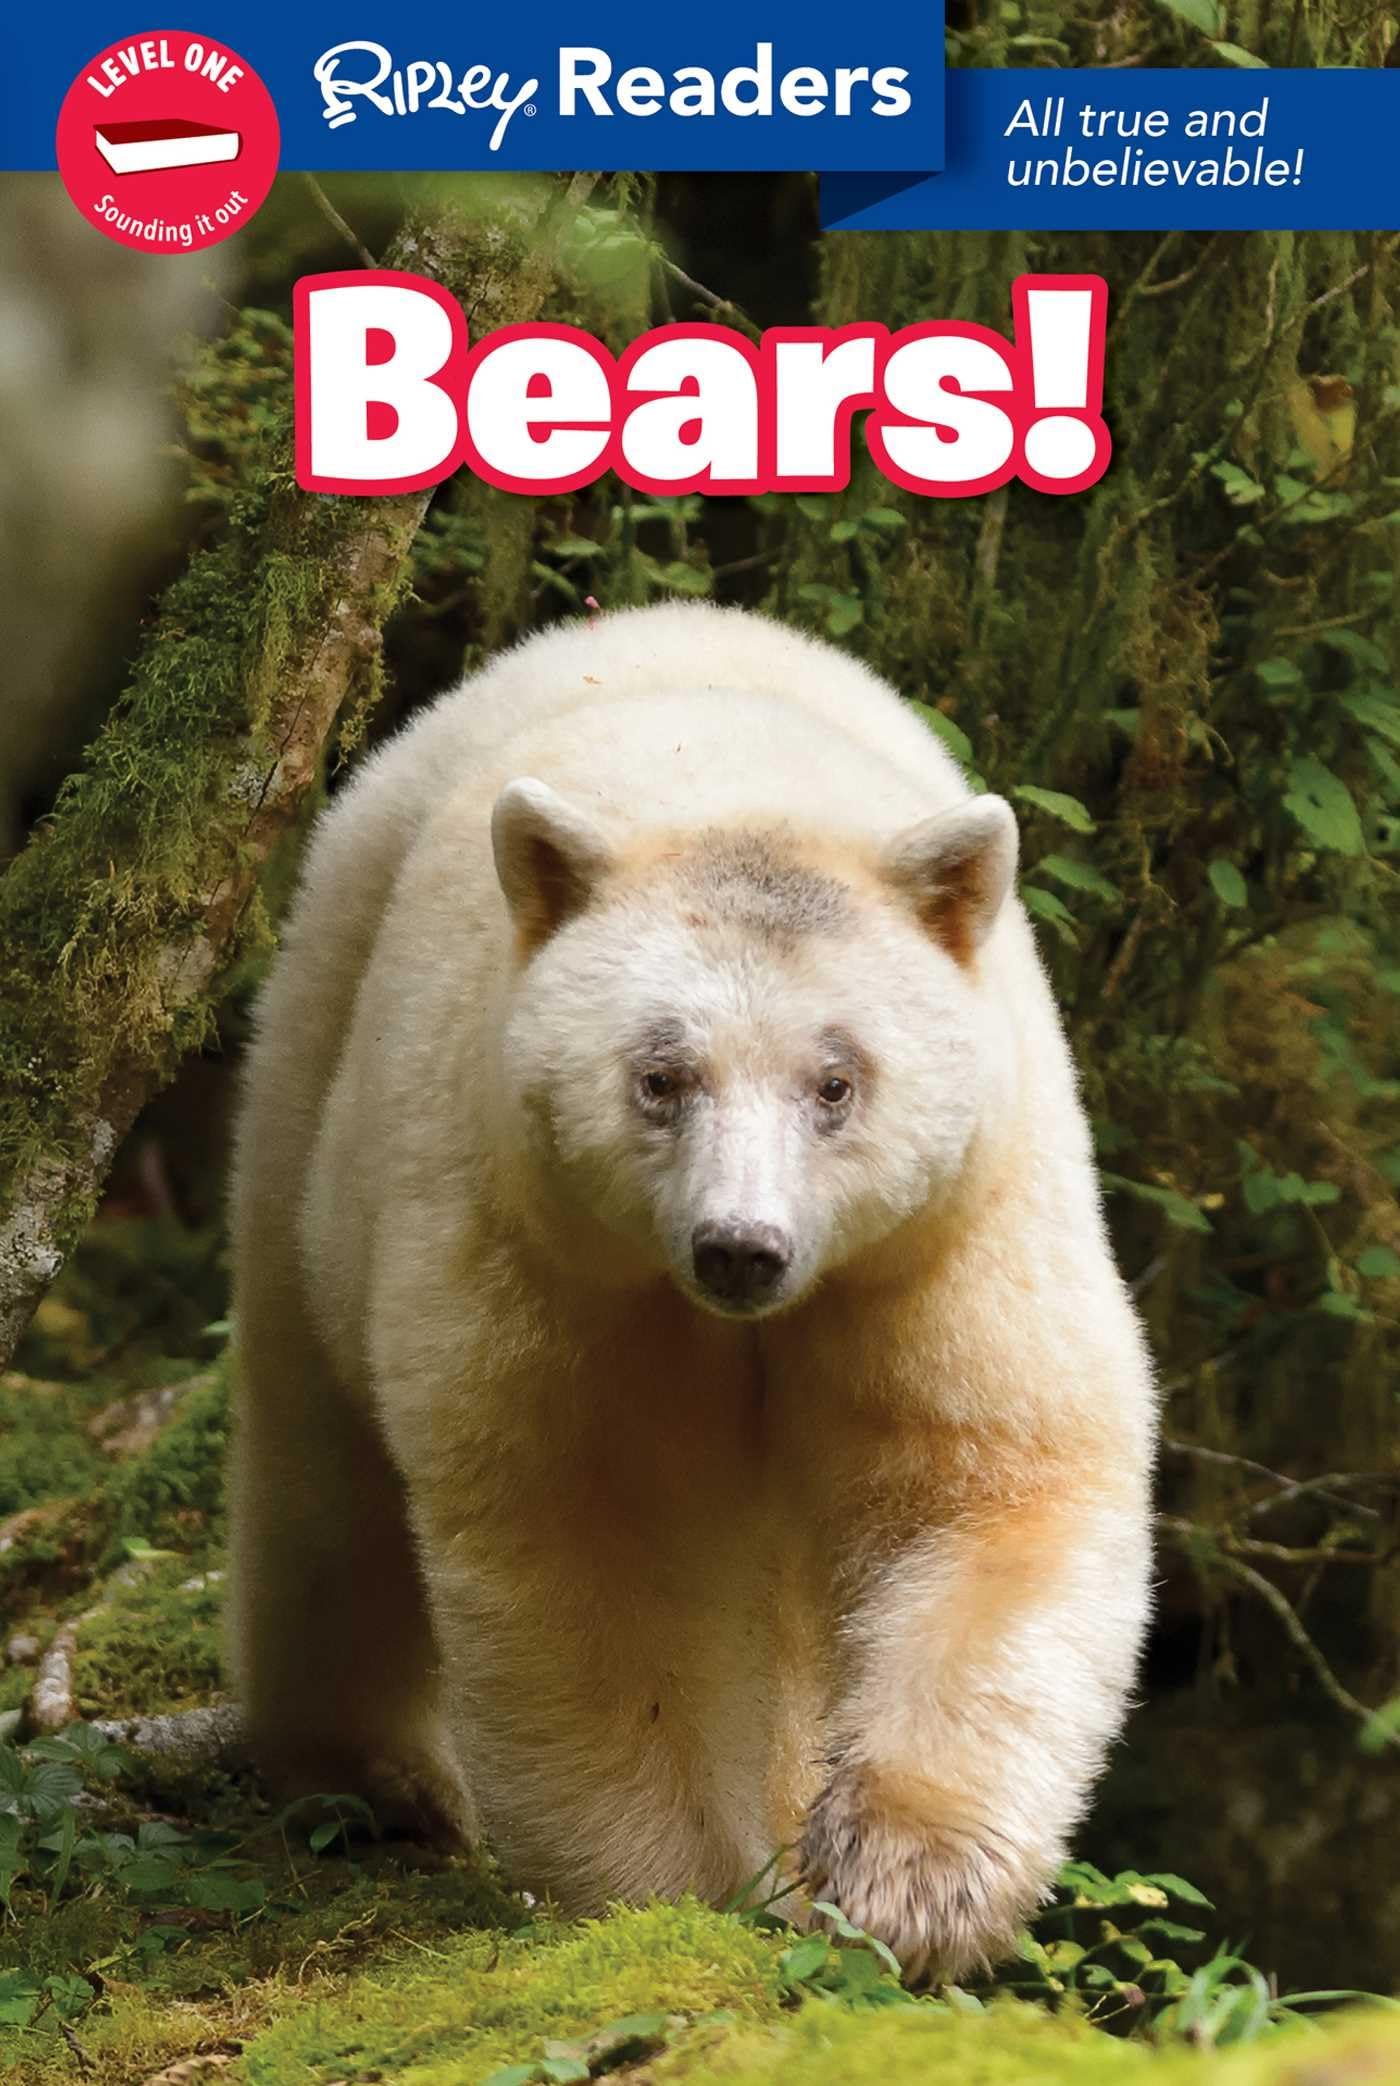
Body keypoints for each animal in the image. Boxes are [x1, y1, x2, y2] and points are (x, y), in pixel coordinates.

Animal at [229, 600, 1155, 1981]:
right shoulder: (553, 1261)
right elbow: (595, 1547)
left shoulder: (939, 1239)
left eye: (836, 1080)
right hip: (321, 1067)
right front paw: (671, 1894)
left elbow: (987, 1480)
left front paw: (903, 1881)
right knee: (318, 1459)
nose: (740, 1247)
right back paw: (367, 1779)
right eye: (660, 1076)